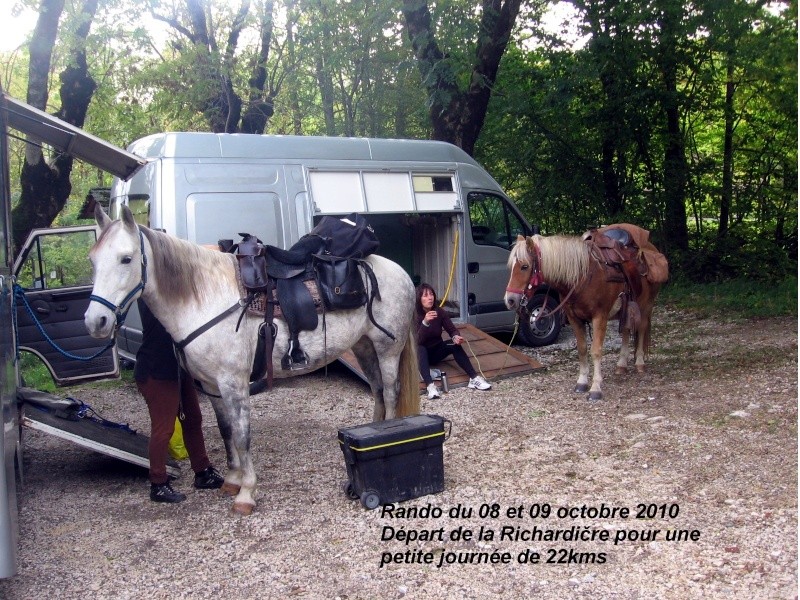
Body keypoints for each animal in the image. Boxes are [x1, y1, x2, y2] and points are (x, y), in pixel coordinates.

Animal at [504, 232, 664, 400]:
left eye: (524, 266)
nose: (510, 300)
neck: (582, 277)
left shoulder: (599, 317)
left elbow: (596, 350)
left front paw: (595, 388)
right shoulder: (574, 319)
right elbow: (581, 349)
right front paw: (581, 382)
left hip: (646, 305)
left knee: (642, 328)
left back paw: (639, 363)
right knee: (626, 331)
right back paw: (621, 365)